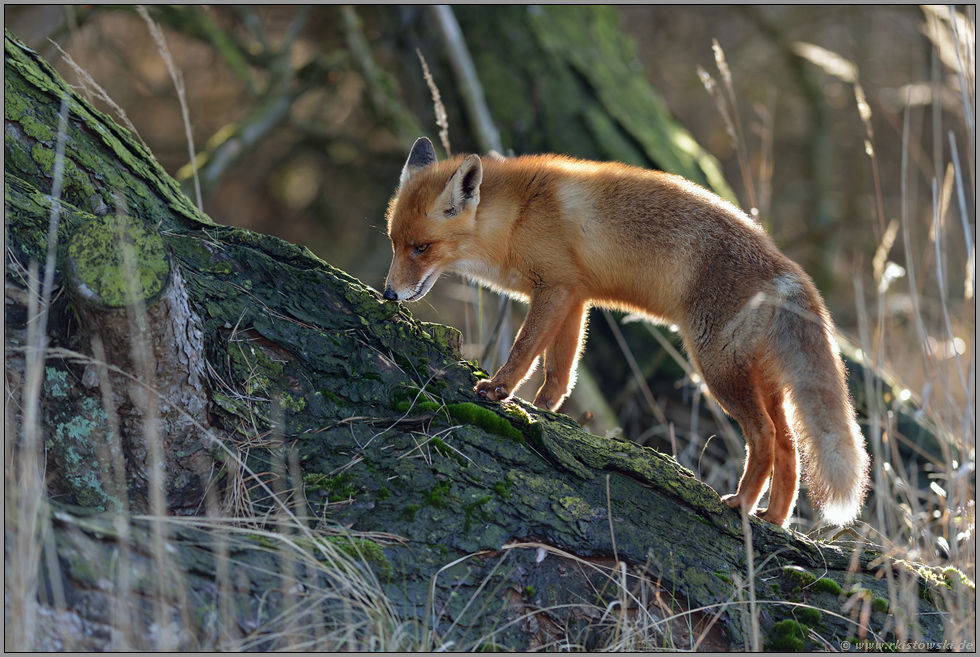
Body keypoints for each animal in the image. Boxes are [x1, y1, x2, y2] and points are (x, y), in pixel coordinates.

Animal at [382, 138, 872, 528]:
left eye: (421, 248)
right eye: (394, 243)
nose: (388, 293)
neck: (515, 218)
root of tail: (784, 265)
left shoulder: (555, 288)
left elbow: (524, 351)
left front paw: (499, 389)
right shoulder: (575, 296)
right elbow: (559, 372)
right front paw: (545, 410)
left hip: (717, 369)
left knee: (766, 437)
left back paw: (742, 505)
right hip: (759, 378)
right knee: (790, 445)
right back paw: (775, 517)